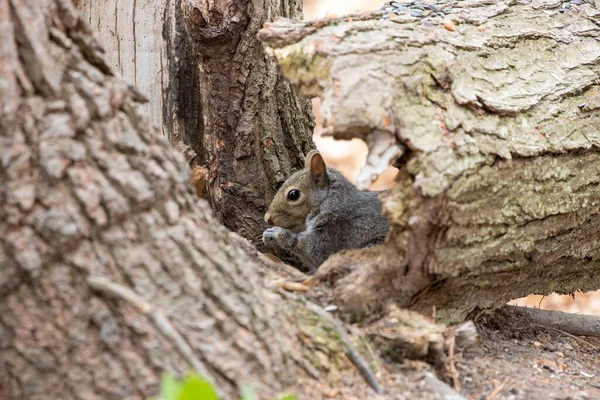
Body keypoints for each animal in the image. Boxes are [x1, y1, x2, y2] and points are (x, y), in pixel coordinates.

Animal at [262, 148, 390, 274]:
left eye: (293, 194)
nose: (267, 218)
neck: (329, 200)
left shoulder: (337, 228)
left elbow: (316, 252)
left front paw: (275, 234)